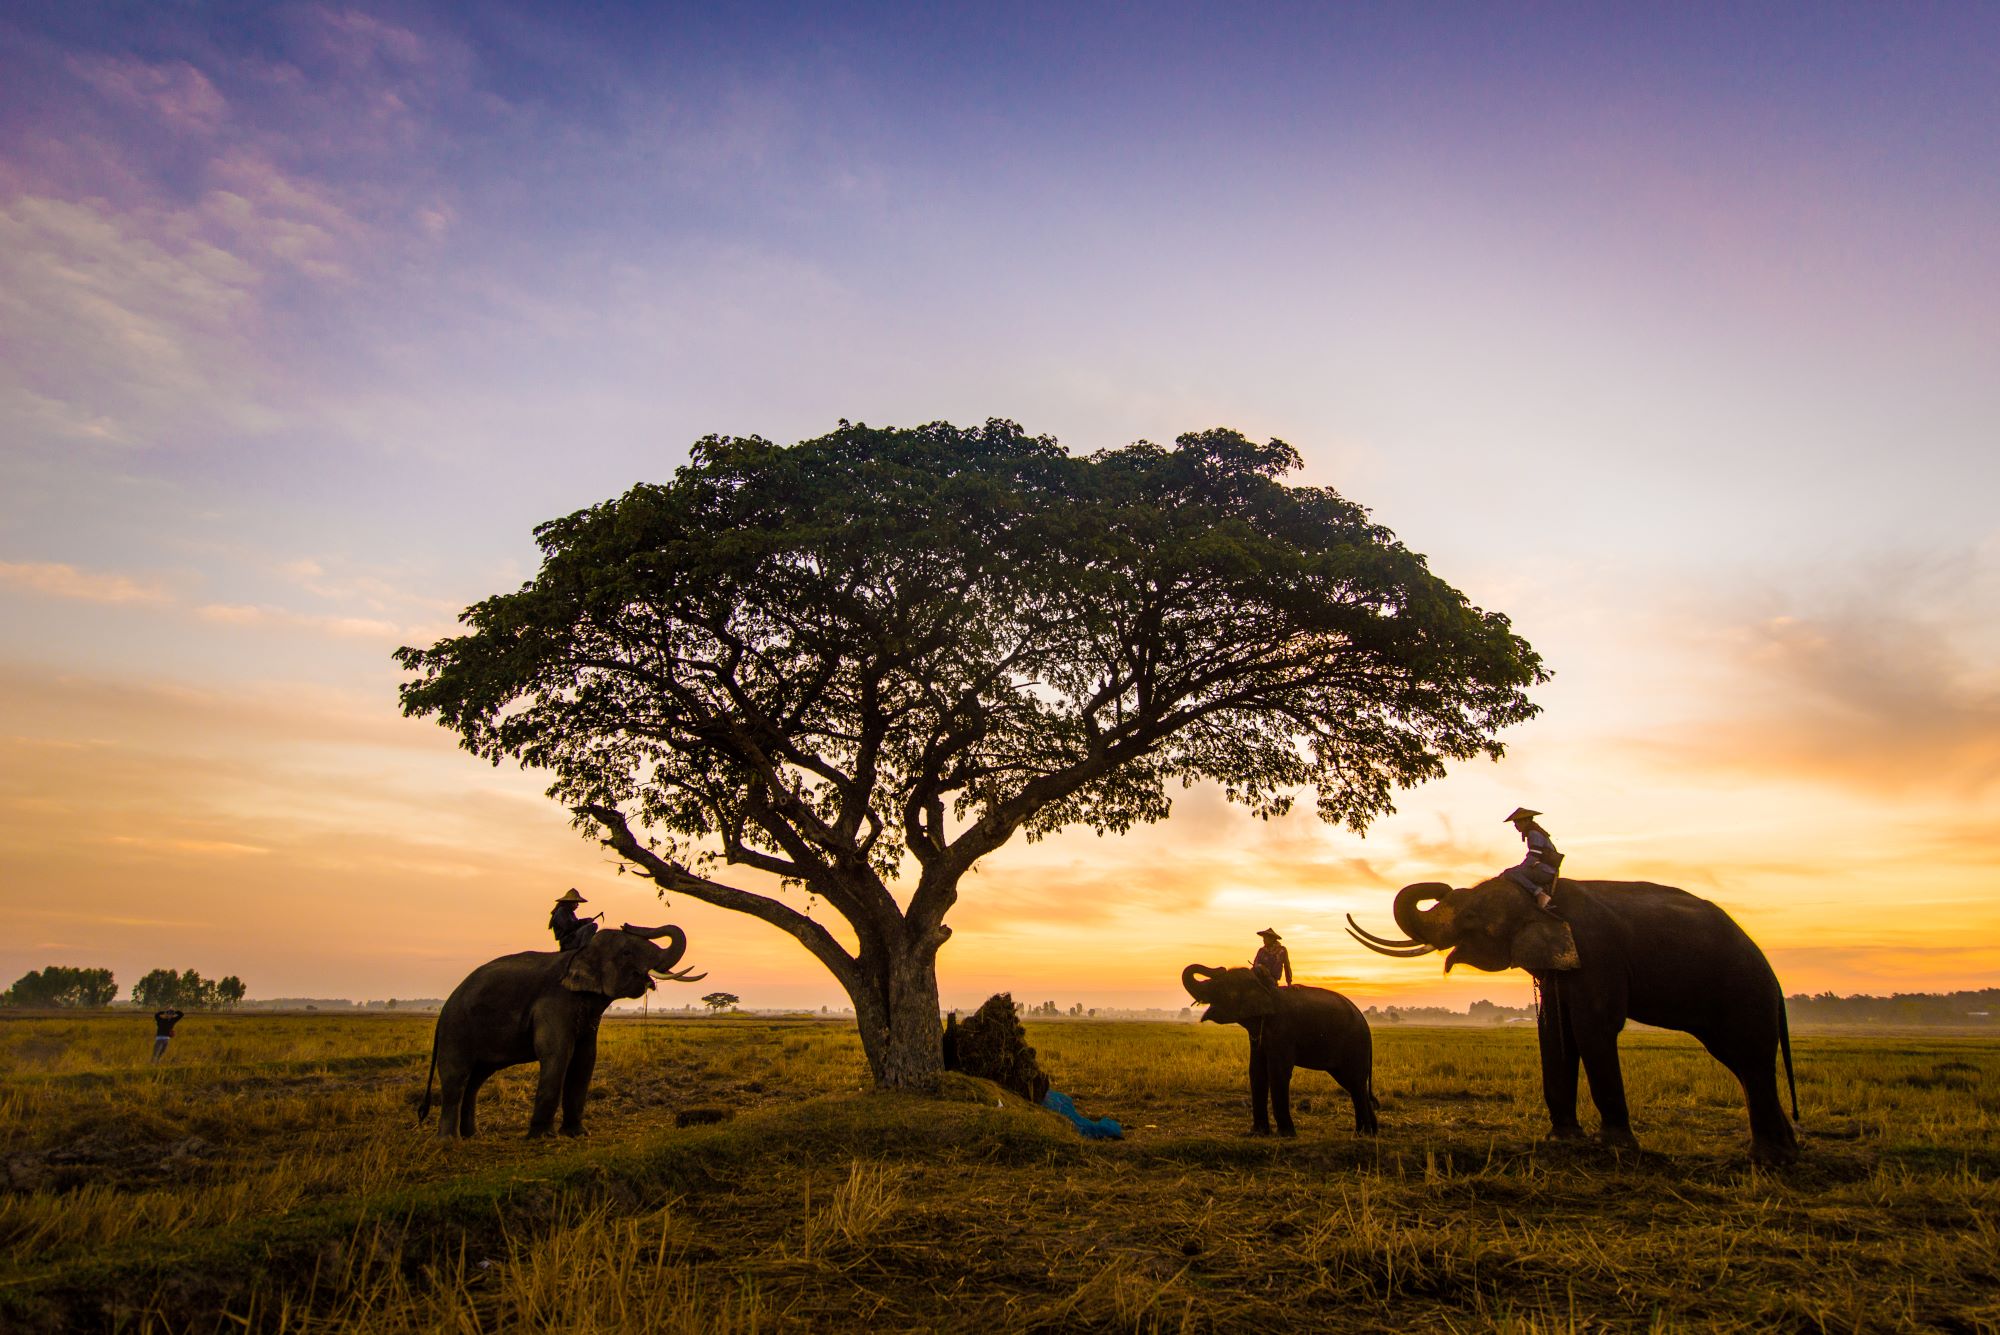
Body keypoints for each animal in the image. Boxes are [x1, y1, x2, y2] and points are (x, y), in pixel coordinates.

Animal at [418, 927, 708, 1135]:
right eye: (626, 952)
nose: (629, 923)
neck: (580, 953)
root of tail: (444, 1009)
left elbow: (585, 1059)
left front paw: (577, 1133)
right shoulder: (554, 1001)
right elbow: (558, 1054)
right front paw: (542, 1136)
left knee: (475, 1080)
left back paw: (471, 1136)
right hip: (456, 1030)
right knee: (457, 1078)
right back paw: (449, 1141)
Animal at [1184, 959, 1376, 1135]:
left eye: (1223, 988)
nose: (1220, 967)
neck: (1265, 987)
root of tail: (1365, 1022)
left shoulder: (1283, 1030)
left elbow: (1278, 1071)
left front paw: (1286, 1134)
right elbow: (1257, 1070)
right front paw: (1258, 1133)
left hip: (1355, 1045)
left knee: (1355, 1083)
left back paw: (1364, 1133)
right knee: (1352, 1083)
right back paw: (1369, 1132)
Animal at [1344, 871, 1800, 1159]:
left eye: (1472, 917)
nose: (1441, 887)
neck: (1543, 899)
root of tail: (1774, 979)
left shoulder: (1596, 954)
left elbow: (1591, 1028)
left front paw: (1614, 1146)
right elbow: (1553, 1032)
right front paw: (1560, 1140)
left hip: (1743, 993)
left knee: (1748, 1058)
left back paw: (1768, 1156)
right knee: (1743, 1061)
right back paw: (1785, 1150)